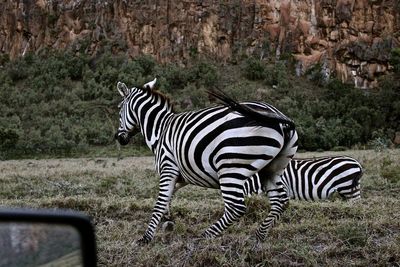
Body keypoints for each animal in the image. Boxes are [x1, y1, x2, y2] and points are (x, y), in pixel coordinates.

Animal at [115, 78, 296, 244]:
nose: (118, 138)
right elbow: (169, 197)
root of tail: (281, 120)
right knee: (280, 201)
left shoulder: (168, 167)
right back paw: (259, 236)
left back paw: (203, 237)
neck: (160, 130)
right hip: (273, 169)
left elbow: (160, 202)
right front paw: (168, 221)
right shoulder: (183, 176)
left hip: (230, 168)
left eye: (119, 110)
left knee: (236, 208)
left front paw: (146, 238)